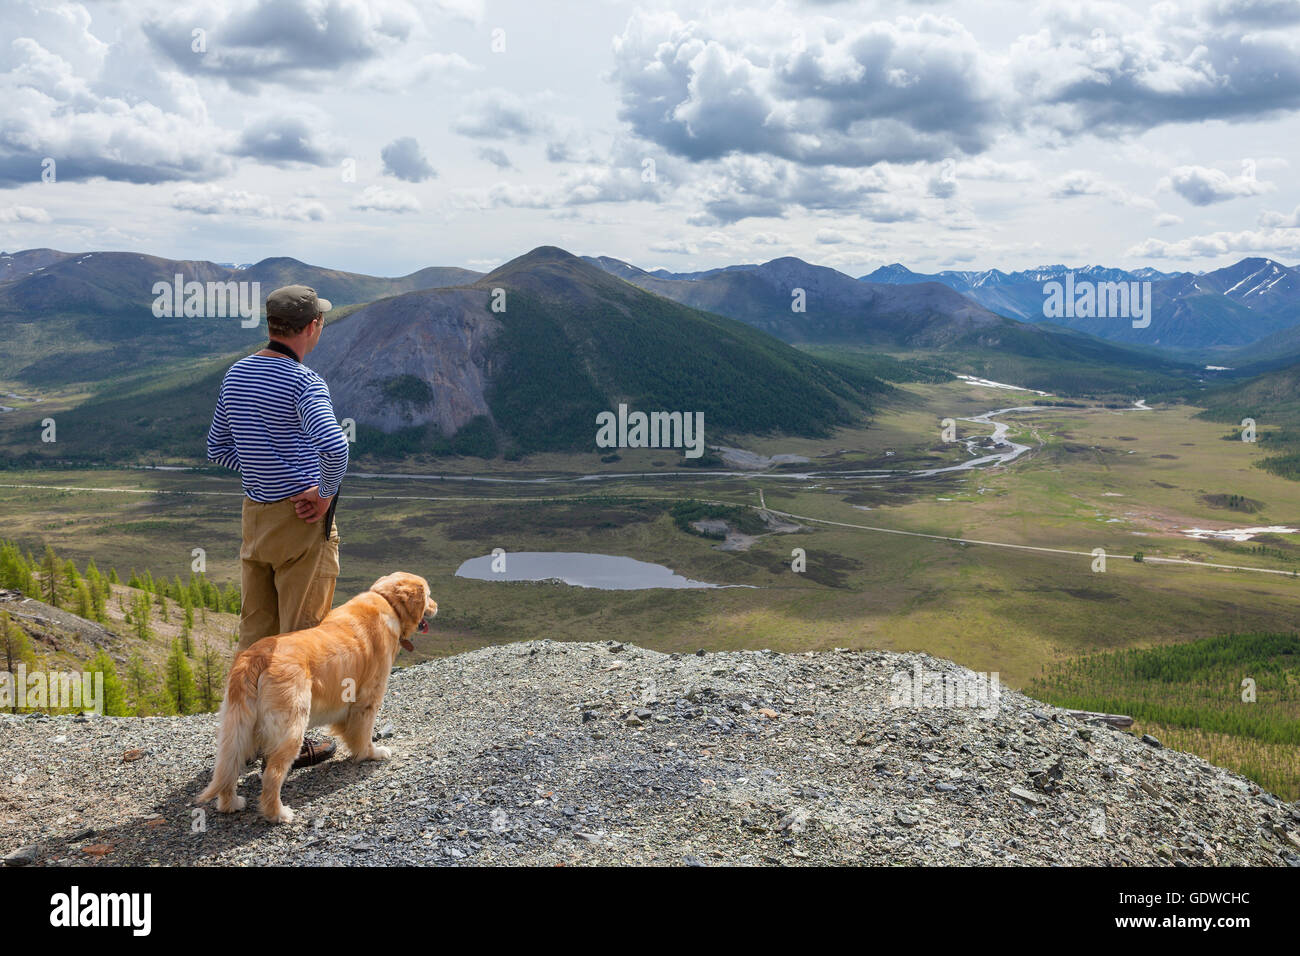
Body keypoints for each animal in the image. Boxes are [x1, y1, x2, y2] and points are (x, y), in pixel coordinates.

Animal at [193, 572, 436, 827]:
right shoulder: (368, 698)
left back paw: (231, 804)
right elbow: (364, 733)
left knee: (228, 769)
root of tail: (255, 657)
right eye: (429, 595)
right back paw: (278, 814)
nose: (436, 606)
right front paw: (372, 753)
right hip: (291, 727)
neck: (387, 602)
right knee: (271, 775)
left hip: (235, 728)